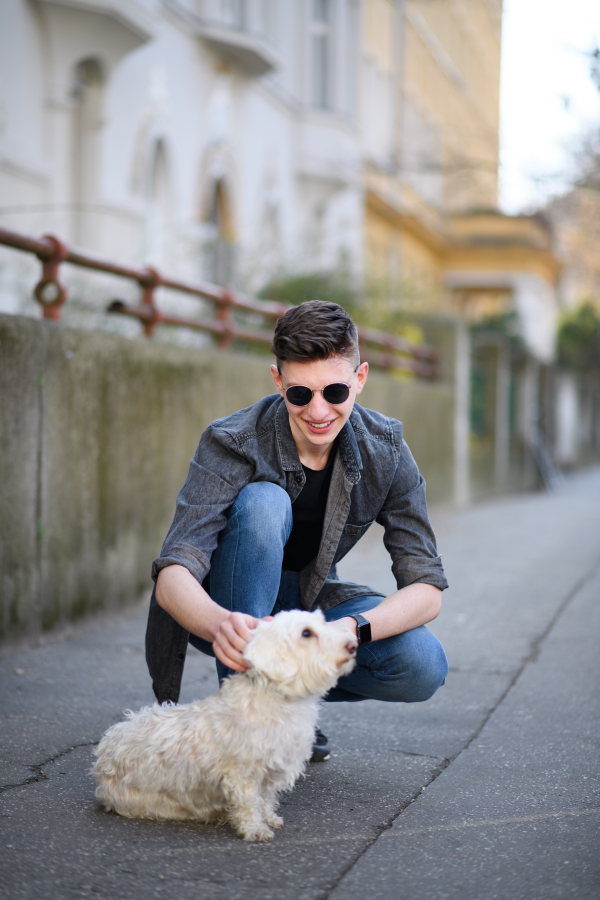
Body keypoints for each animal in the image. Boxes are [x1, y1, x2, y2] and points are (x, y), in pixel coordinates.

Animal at [92, 608, 356, 840]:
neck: (275, 694)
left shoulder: (270, 771)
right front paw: (255, 829)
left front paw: (268, 818)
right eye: (306, 633)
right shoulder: (244, 773)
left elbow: (265, 798)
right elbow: (250, 801)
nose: (353, 645)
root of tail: (105, 750)